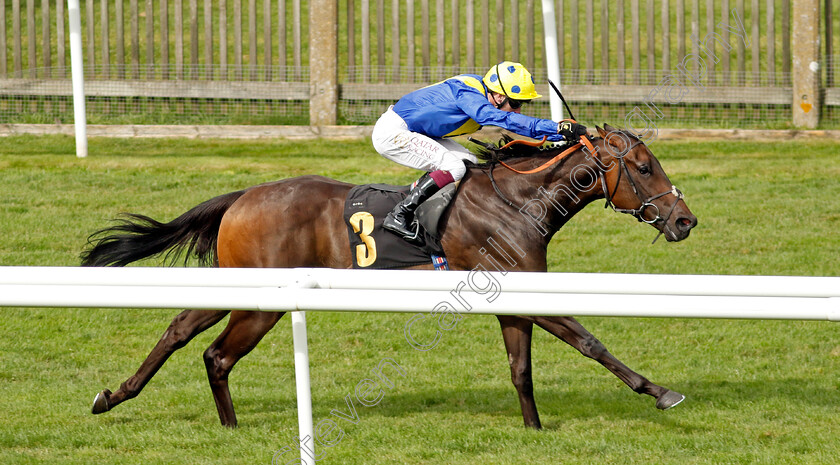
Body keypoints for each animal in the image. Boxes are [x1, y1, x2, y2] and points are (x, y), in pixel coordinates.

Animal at [83, 124, 696, 428]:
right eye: (644, 168)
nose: (685, 220)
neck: (515, 200)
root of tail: (243, 196)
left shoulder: (513, 295)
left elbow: (521, 369)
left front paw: (533, 431)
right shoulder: (524, 290)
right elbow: (589, 341)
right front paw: (661, 392)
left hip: (237, 286)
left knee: (181, 330)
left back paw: (118, 398)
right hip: (263, 300)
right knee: (215, 353)